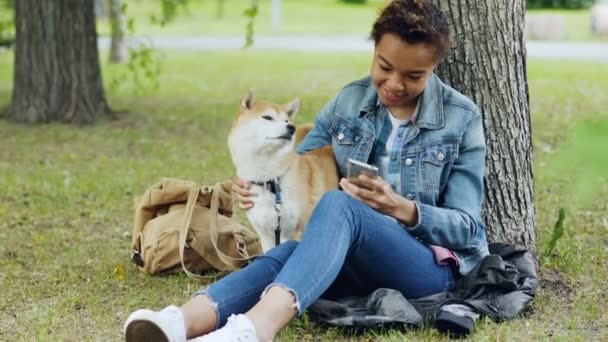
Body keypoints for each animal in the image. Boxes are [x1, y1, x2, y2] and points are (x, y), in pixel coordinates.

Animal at [228, 90, 340, 251]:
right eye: (268, 117)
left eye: (286, 121)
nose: (291, 127)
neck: (272, 181)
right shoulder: (266, 234)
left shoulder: (294, 231)